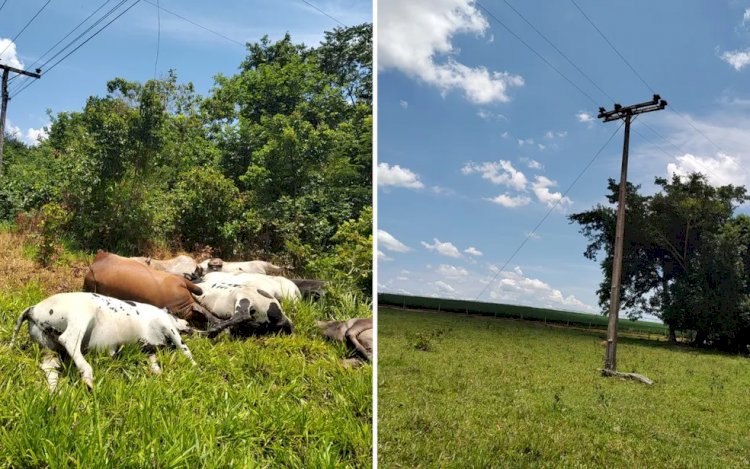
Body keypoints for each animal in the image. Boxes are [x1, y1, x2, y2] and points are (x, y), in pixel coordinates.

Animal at [10, 290, 197, 390]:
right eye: (177, 314)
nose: (189, 323)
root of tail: (33, 309)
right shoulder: (168, 325)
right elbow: (185, 348)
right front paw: (196, 367)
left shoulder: (146, 348)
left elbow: (153, 362)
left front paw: (157, 373)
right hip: (81, 316)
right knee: (69, 340)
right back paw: (87, 377)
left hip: (49, 349)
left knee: (49, 368)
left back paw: (57, 392)